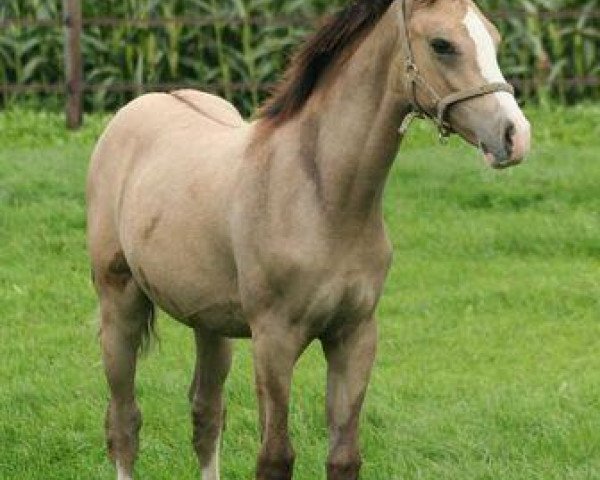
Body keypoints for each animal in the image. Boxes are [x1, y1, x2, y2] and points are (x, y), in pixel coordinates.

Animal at [88, 0, 528, 480]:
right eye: (442, 44)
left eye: (495, 38)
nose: (515, 136)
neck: (324, 201)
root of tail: (144, 103)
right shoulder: (274, 340)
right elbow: (276, 456)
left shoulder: (354, 335)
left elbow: (344, 456)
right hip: (120, 305)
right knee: (124, 422)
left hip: (210, 322)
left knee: (206, 415)